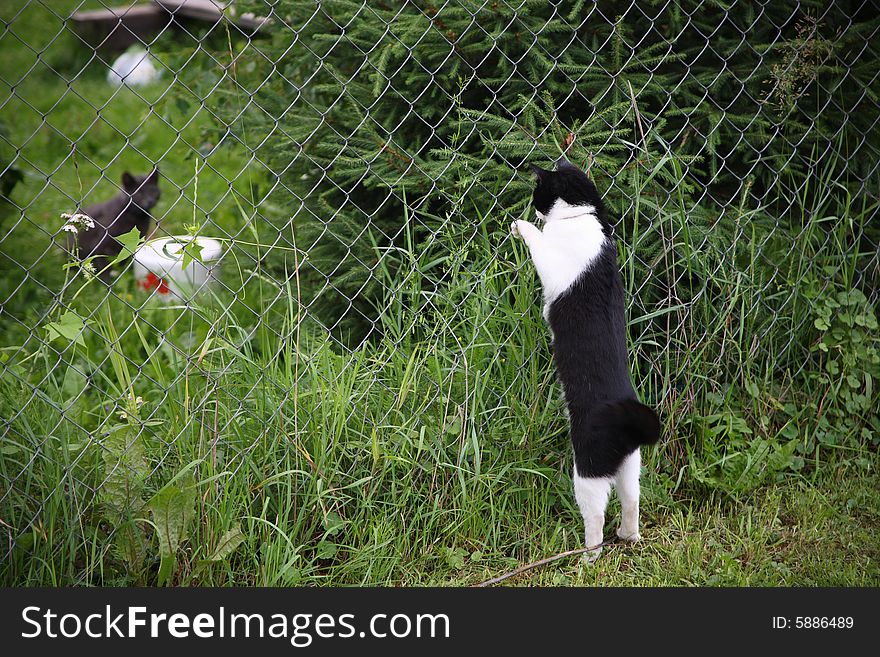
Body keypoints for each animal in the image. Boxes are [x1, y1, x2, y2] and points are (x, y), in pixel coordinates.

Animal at [512, 158, 664, 560]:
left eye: (538, 193)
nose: (533, 207)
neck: (584, 215)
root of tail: (627, 421)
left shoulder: (552, 261)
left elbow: (539, 241)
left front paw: (522, 226)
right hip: (630, 466)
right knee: (631, 501)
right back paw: (629, 536)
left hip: (588, 470)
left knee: (595, 516)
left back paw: (588, 557)